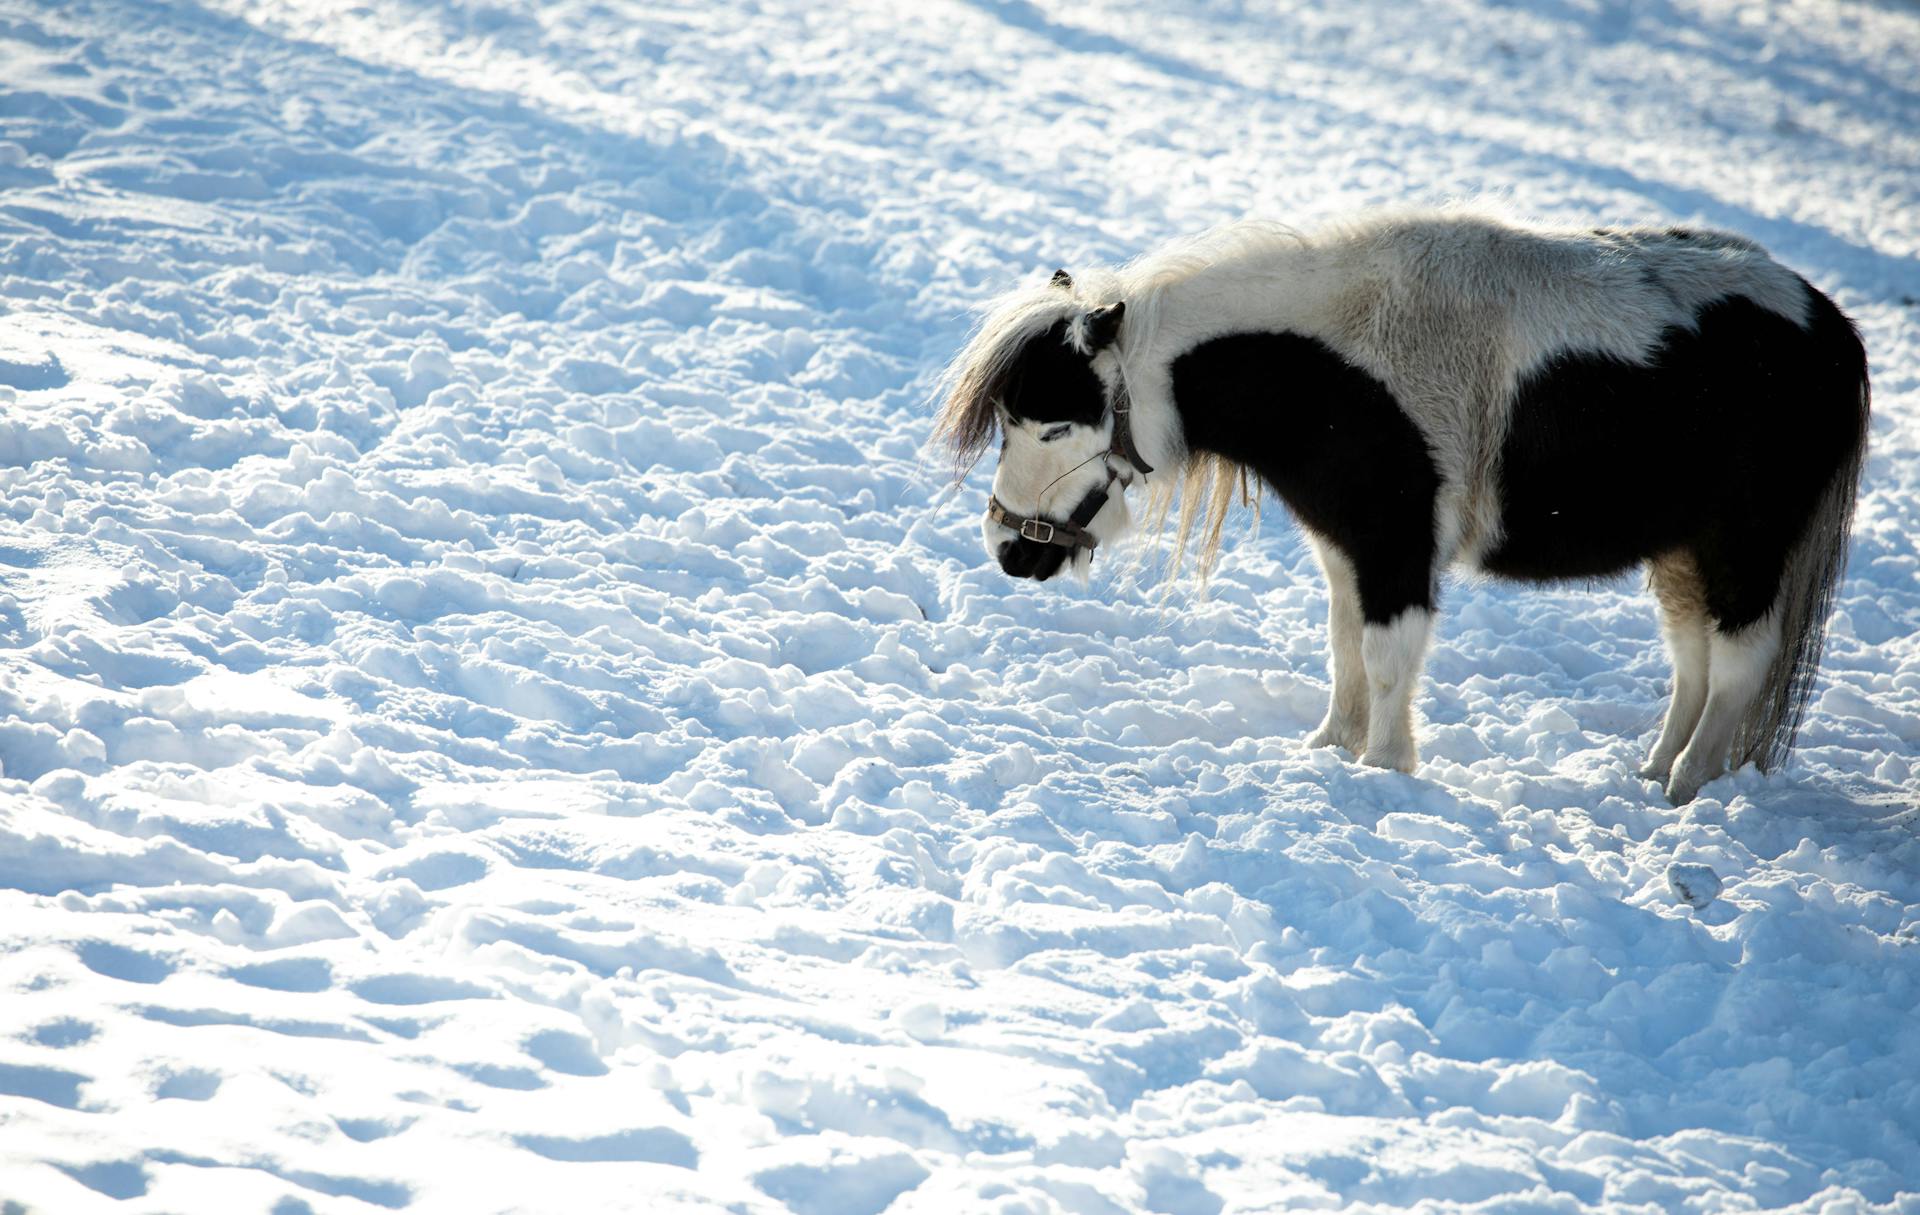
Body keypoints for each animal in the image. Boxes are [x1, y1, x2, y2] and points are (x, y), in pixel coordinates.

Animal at [936, 208, 1866, 802]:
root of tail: (1830, 326)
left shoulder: (1395, 545)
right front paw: (1329, 749)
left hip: (1745, 545)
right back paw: (1650, 774)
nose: (1009, 549)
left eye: (1056, 423)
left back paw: (1684, 789)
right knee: (1692, 659)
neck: (1333, 369)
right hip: (1683, 550)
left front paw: (1385, 770)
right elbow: (1344, 645)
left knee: (1739, 661)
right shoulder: (1346, 545)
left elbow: (1387, 656)